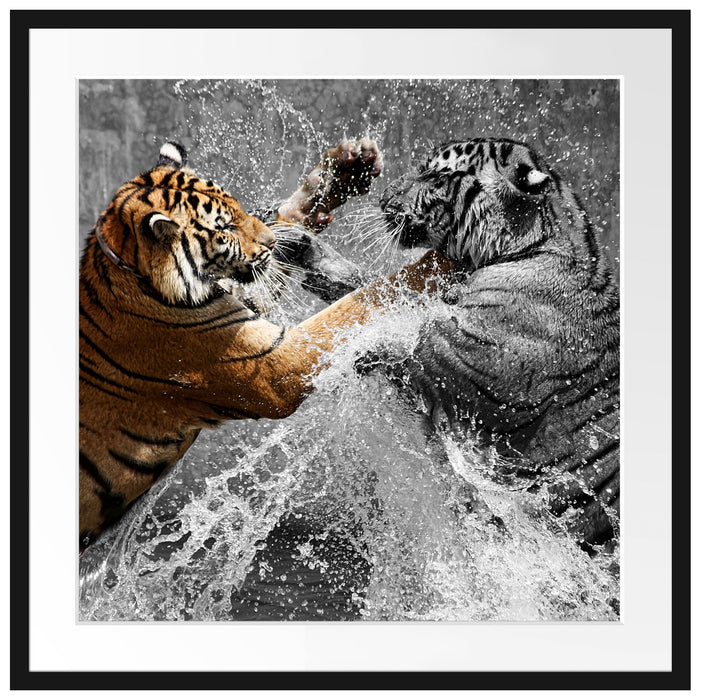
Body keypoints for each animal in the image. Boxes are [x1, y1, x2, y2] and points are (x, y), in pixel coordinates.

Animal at [79, 139, 453, 552]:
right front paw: (436, 265)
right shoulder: (275, 367)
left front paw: (345, 169)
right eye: (224, 228)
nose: (272, 243)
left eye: (239, 209)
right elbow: (354, 304)